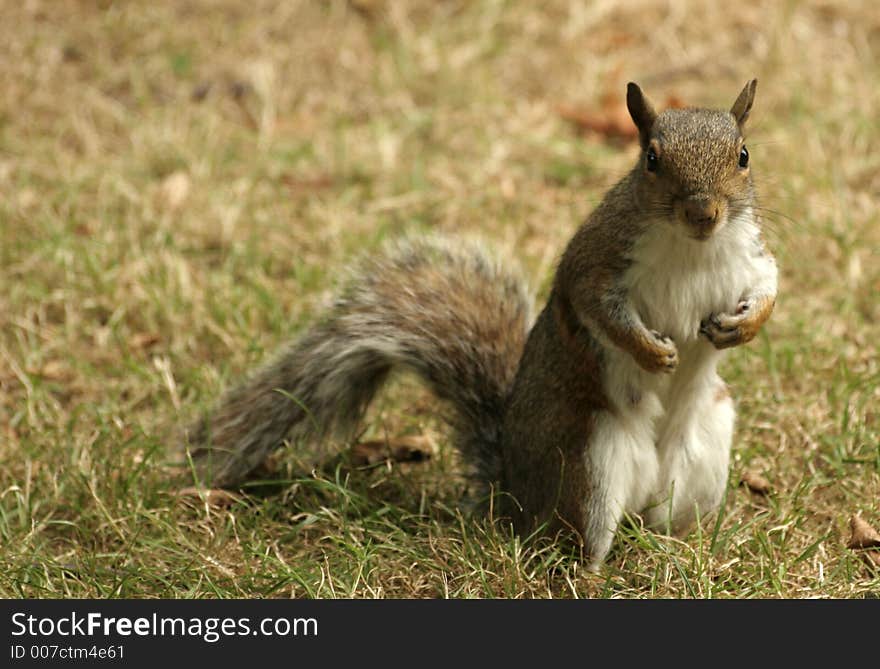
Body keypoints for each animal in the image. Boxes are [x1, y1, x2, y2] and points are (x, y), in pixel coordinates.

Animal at [186, 79, 776, 568]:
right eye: (651, 159)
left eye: (744, 156)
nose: (703, 213)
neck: (692, 247)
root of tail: (514, 492)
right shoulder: (596, 262)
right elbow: (599, 310)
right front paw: (652, 351)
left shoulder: (749, 256)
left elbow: (770, 284)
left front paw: (743, 327)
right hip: (589, 462)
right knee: (572, 543)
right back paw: (593, 572)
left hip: (705, 450)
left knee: (662, 521)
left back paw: (680, 549)